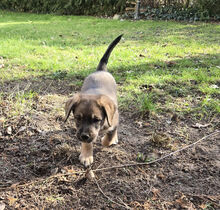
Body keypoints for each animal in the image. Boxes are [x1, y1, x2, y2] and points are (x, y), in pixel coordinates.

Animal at [63, 34, 123, 167]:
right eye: (78, 118)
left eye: (96, 119)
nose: (84, 136)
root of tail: (101, 70)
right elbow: (88, 143)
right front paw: (86, 155)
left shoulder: (112, 122)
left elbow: (108, 137)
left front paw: (106, 140)